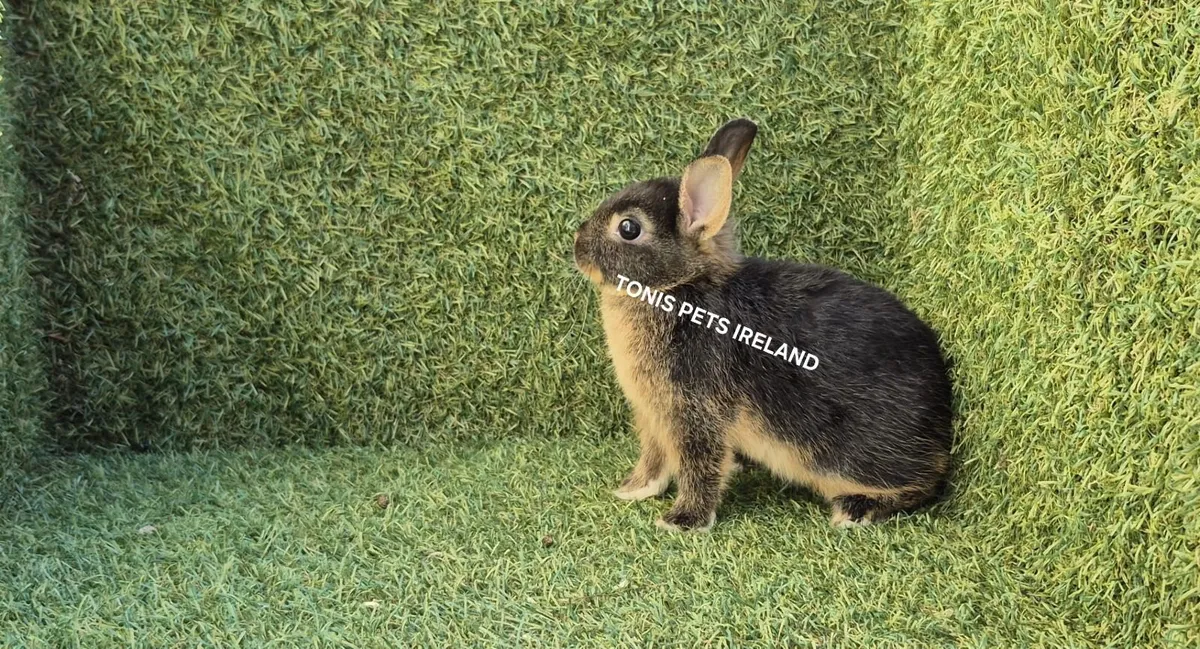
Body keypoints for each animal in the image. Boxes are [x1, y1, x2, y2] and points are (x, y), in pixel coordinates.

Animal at [572, 118, 954, 532]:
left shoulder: (698, 412)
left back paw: (856, 508)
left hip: (851, 455)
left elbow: (700, 466)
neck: (676, 289)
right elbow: (654, 457)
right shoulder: (654, 415)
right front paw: (633, 489)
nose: (576, 244)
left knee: (925, 483)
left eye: (628, 228)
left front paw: (682, 521)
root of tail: (943, 415)